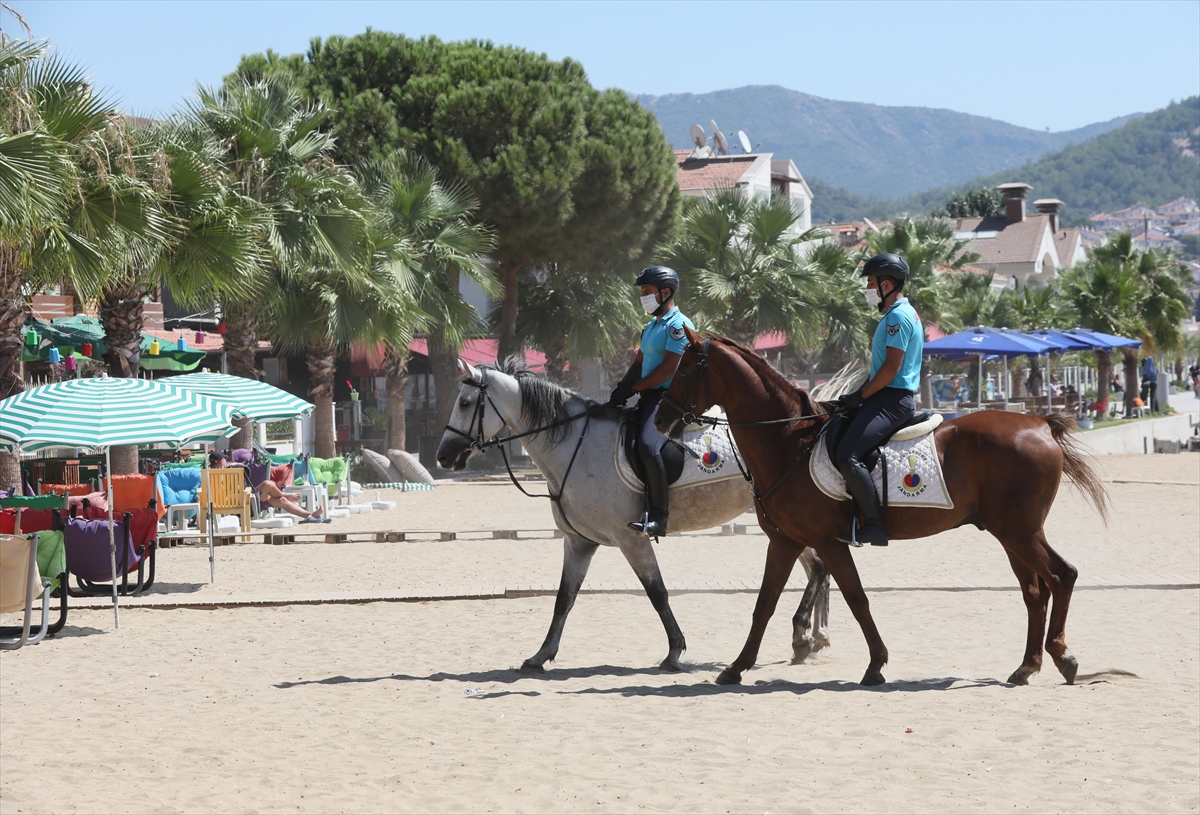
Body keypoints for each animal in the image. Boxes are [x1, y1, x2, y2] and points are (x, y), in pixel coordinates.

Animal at [436, 360, 830, 672]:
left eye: (465, 402)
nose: (443, 456)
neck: (578, 446)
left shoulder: (631, 538)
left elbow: (657, 592)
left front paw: (674, 652)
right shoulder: (578, 542)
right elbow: (564, 599)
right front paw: (540, 655)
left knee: (819, 565)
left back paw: (806, 635)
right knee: (818, 566)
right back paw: (807, 637)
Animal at [652, 328, 1108, 686]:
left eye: (685, 369)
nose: (658, 420)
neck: (788, 441)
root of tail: (1040, 423)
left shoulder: (828, 542)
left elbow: (857, 599)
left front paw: (876, 665)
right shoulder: (784, 542)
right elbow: (763, 604)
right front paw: (736, 667)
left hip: (1019, 531)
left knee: (1061, 576)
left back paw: (1062, 657)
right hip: (1010, 534)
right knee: (1035, 592)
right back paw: (1026, 666)